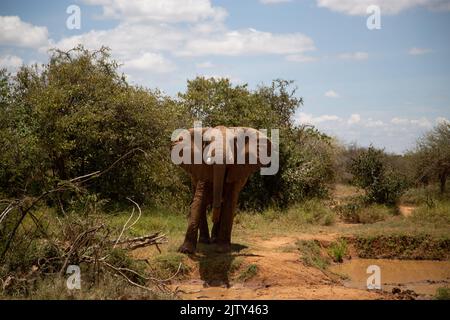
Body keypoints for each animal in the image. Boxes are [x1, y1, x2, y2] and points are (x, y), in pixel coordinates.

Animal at [171, 126, 270, 254]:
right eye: (206, 143)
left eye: (233, 143)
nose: (213, 219)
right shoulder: (202, 169)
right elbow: (199, 199)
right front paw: (185, 251)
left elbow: (229, 202)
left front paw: (223, 250)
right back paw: (206, 241)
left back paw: (215, 240)